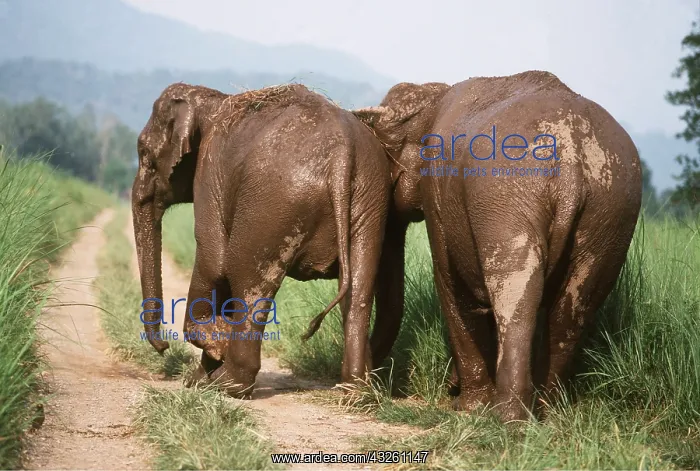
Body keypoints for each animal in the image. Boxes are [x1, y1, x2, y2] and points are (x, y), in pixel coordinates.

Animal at [132, 82, 396, 397]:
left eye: (145, 154)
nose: (163, 347)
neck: (211, 100)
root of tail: (341, 155)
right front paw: (199, 379)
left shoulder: (209, 173)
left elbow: (213, 261)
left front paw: (212, 353)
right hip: (370, 196)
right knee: (358, 287)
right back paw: (356, 391)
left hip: (274, 202)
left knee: (246, 276)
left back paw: (229, 384)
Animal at [352, 70, 642, 421]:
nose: (374, 381)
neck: (432, 97)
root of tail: (573, 153)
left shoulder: (437, 193)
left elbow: (450, 281)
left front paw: (468, 407)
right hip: (612, 210)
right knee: (572, 310)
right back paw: (546, 412)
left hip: (507, 195)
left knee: (514, 296)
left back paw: (509, 418)